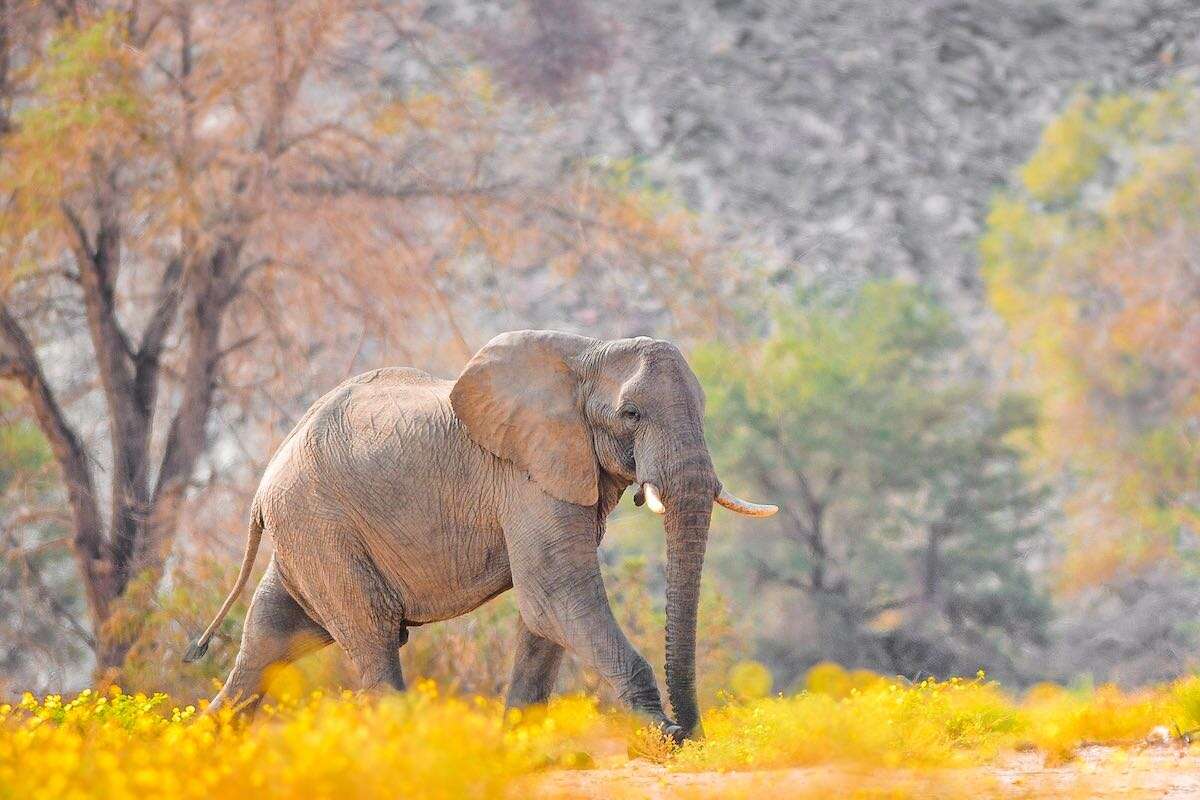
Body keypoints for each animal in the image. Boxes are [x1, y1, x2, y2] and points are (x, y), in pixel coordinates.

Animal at [182, 328, 772, 743]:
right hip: (320, 526)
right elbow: (556, 595)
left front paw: (518, 748)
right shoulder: (526, 475)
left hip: (307, 536)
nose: (693, 731)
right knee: (370, 634)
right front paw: (664, 737)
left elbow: (543, 612)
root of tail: (263, 485)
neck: (589, 353)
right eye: (631, 414)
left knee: (270, 639)